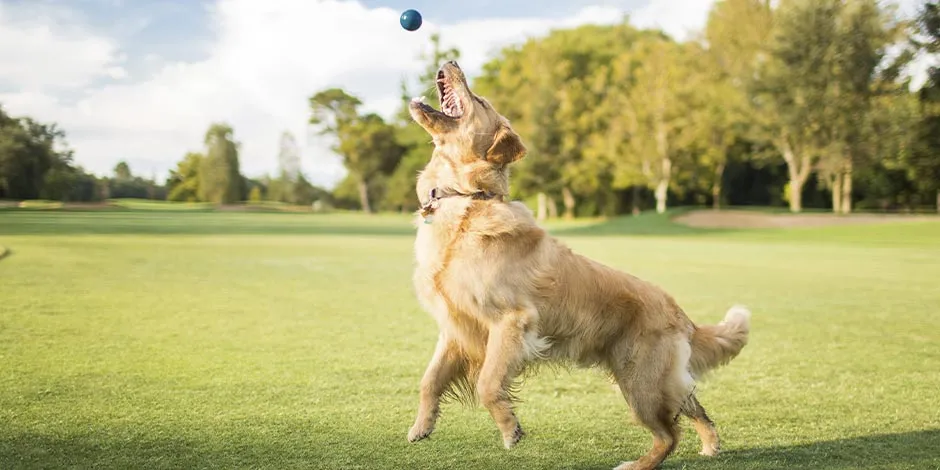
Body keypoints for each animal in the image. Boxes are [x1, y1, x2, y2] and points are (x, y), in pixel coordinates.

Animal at [404, 60, 748, 468]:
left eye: (481, 101)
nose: (453, 62)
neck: (468, 199)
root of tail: (681, 313)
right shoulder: (455, 327)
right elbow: (429, 380)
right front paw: (422, 426)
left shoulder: (511, 322)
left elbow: (488, 383)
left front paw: (509, 429)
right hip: (655, 380)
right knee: (693, 406)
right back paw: (710, 446)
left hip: (640, 383)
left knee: (669, 434)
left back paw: (638, 464)